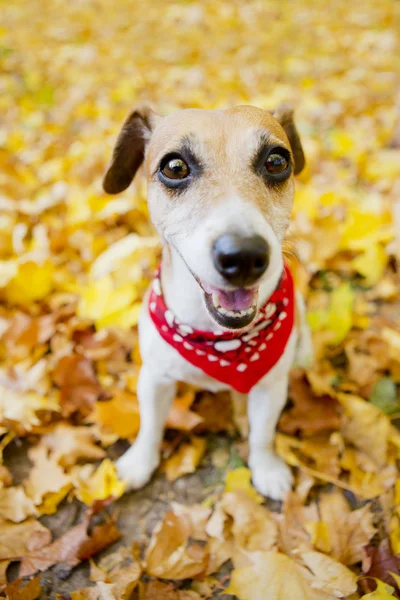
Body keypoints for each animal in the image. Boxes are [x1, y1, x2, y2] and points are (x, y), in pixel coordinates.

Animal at [102, 104, 312, 502]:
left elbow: (263, 435)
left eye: (276, 161)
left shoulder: (270, 386)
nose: (243, 256)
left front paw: (267, 469)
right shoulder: (154, 378)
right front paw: (139, 463)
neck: (220, 342)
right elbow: (150, 425)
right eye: (174, 167)